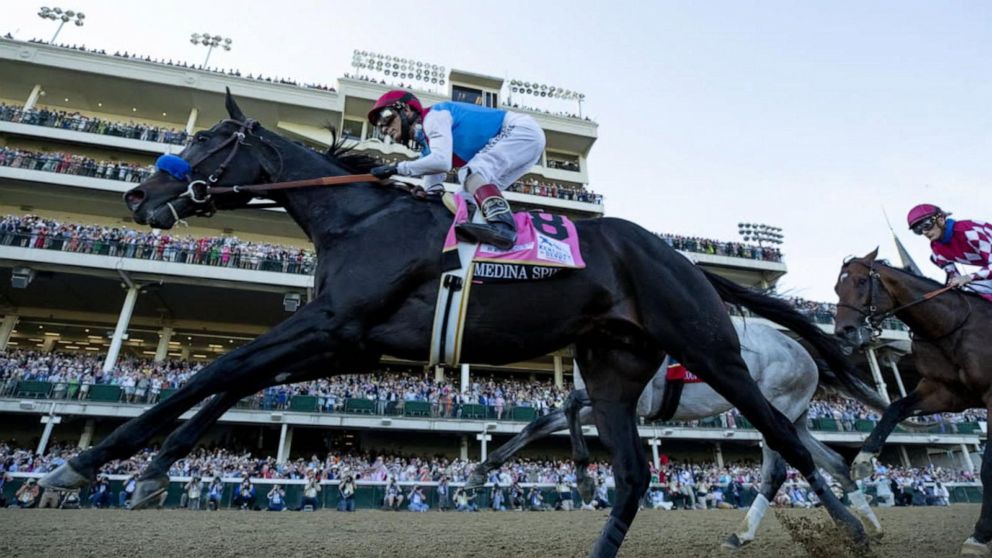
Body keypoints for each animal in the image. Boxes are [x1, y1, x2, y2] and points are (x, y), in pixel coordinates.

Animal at [468, 320, 888, 552]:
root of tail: (802, 352)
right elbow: (539, 423)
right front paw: (480, 470)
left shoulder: (630, 399)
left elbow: (569, 402)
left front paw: (585, 478)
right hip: (796, 415)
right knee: (833, 461)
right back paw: (870, 524)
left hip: (773, 407)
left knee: (778, 471)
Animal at [836, 252, 992, 556]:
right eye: (838, 288)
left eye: (861, 281)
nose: (843, 331)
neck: (949, 327)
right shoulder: (945, 393)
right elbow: (894, 409)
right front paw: (863, 460)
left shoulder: (991, 395)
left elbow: (987, 467)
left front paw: (979, 536)